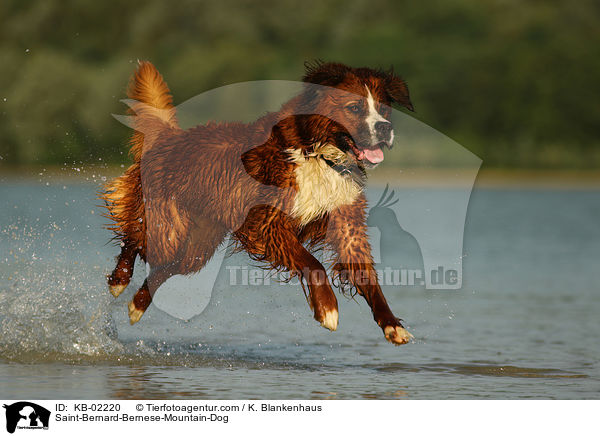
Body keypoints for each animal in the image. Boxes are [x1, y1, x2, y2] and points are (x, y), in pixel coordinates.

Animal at [102, 61, 412, 346]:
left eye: (384, 109)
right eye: (355, 108)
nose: (385, 128)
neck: (318, 153)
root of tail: (169, 137)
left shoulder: (347, 226)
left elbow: (367, 277)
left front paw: (391, 325)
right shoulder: (268, 223)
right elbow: (312, 263)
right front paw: (326, 308)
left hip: (198, 246)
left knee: (167, 268)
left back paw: (137, 305)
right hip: (169, 228)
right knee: (134, 239)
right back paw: (119, 280)